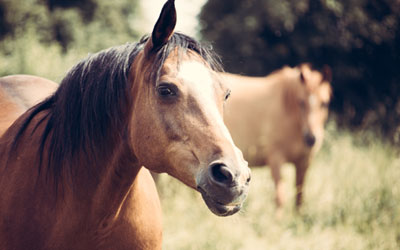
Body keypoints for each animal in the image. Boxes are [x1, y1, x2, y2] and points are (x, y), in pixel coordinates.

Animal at [222, 63, 332, 212]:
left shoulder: (304, 162)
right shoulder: (276, 159)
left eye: (324, 103)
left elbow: (300, 196)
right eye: (301, 102)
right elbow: (280, 198)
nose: (311, 138)